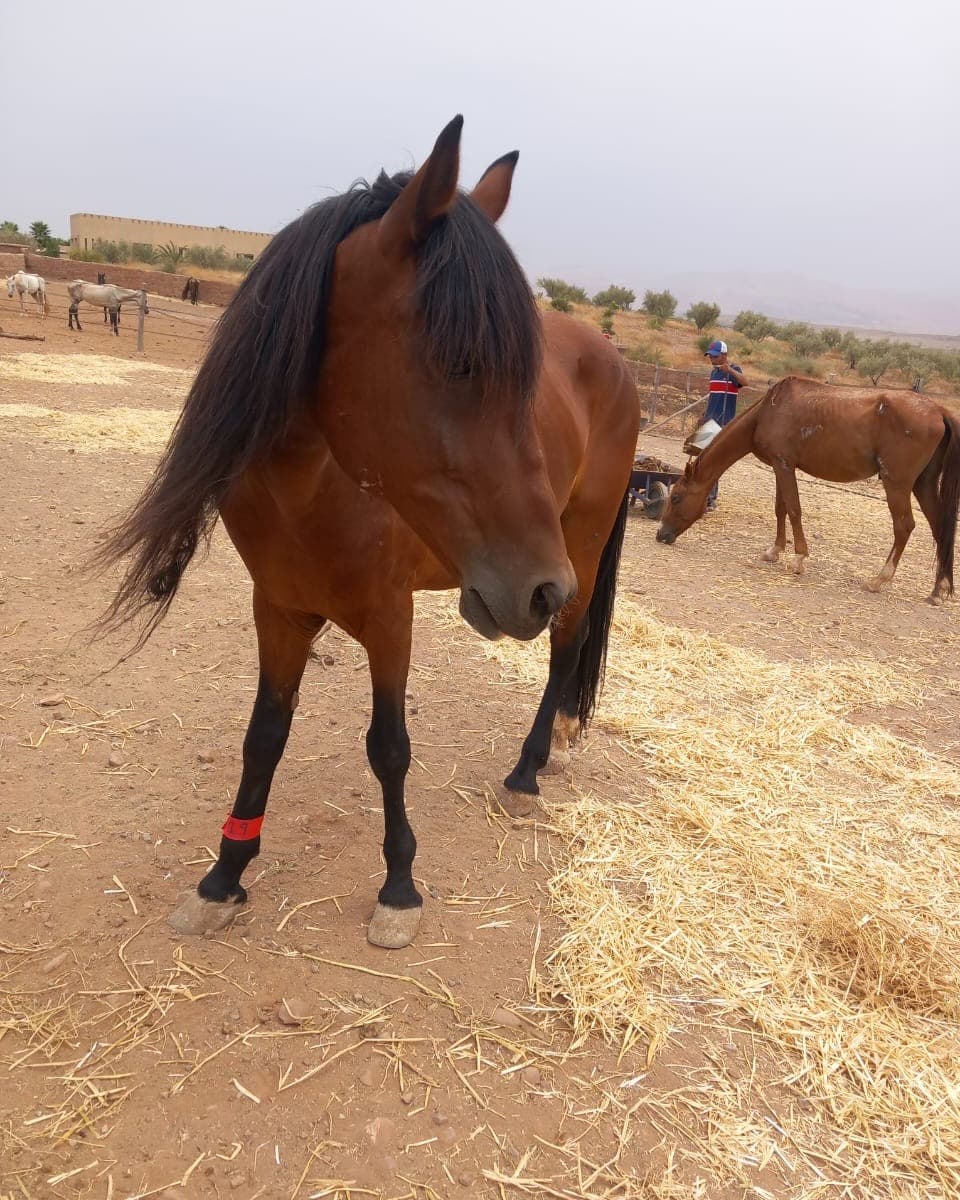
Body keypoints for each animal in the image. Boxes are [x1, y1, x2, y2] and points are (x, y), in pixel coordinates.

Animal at [94, 116, 641, 950]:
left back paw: (526, 769)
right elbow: (264, 736)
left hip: (578, 540)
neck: (312, 487)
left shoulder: (391, 618)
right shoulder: (279, 611)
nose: (535, 587)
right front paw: (224, 875)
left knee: (565, 644)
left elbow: (388, 748)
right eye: (460, 362)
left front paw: (399, 887)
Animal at [656, 375, 960, 603]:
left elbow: (793, 510)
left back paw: (878, 580)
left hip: (896, 484)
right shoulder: (780, 467)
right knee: (940, 528)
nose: (661, 535)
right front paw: (774, 551)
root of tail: (938, 410)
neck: (768, 411)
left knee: (904, 526)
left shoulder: (784, 466)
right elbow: (780, 509)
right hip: (923, 484)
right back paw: (939, 590)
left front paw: (799, 558)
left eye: (676, 497)